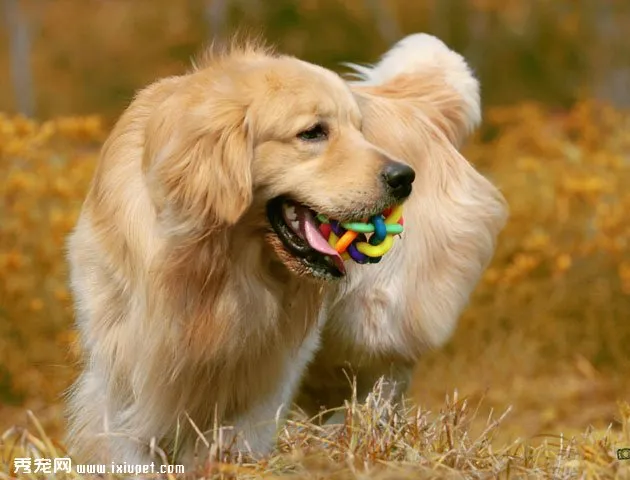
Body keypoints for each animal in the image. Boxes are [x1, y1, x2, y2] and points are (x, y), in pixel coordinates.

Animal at [64, 33, 508, 468]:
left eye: (361, 130)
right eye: (312, 132)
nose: (404, 177)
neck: (212, 267)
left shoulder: (265, 370)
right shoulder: (122, 364)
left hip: (374, 321)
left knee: (383, 376)